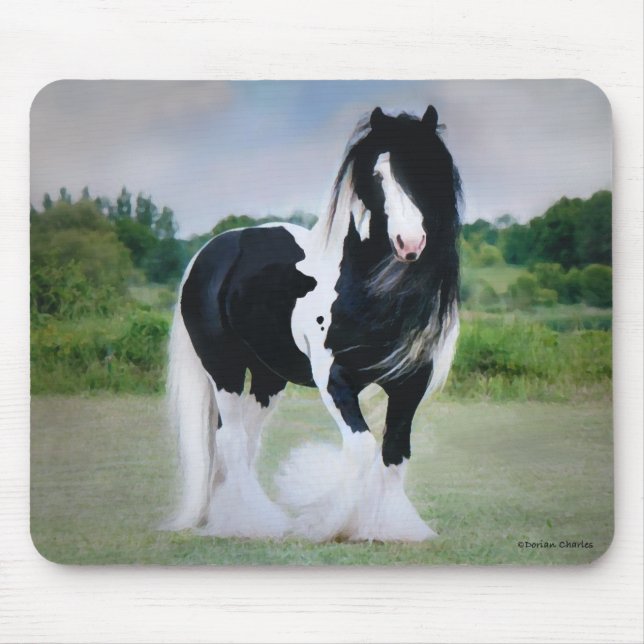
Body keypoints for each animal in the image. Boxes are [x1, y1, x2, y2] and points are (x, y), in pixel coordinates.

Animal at [164, 105, 461, 542]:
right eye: (376, 175)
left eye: (427, 168)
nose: (409, 243)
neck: (369, 289)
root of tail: (212, 249)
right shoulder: (333, 378)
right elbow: (362, 448)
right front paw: (329, 523)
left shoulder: (411, 381)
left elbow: (395, 452)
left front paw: (391, 528)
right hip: (224, 368)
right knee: (231, 439)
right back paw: (255, 523)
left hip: (268, 378)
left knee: (244, 440)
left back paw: (227, 517)